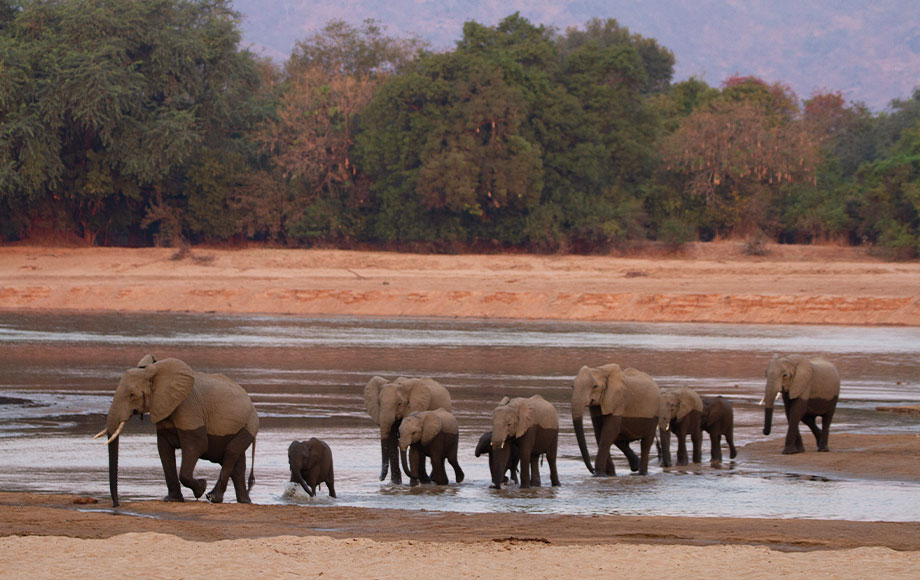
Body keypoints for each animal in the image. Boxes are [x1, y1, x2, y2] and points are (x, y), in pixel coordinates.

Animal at [95, 354, 258, 508]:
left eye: (132, 395)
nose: (116, 505)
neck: (155, 373)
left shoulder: (188, 406)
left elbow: (197, 445)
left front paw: (201, 487)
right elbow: (163, 449)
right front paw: (172, 499)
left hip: (249, 425)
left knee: (230, 454)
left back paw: (213, 498)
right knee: (236, 464)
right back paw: (244, 502)